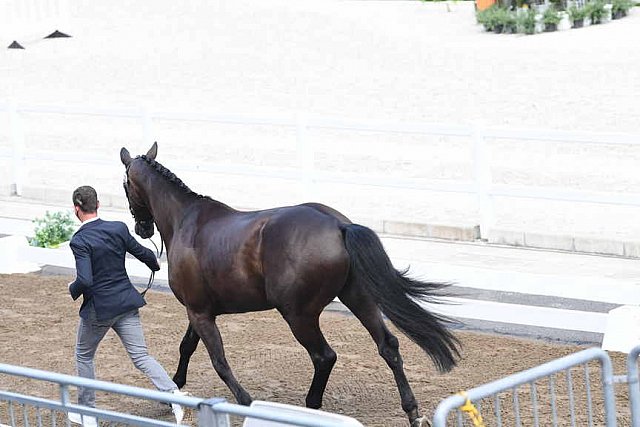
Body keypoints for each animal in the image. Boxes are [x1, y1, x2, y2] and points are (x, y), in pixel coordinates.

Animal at [119, 143, 460, 424]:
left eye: (125, 185)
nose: (142, 227)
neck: (185, 221)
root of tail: (338, 225)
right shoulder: (199, 310)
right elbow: (187, 346)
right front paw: (173, 390)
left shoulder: (199, 312)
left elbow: (218, 360)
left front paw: (244, 403)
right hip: (358, 297)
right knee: (387, 345)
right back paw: (412, 412)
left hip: (298, 315)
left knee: (324, 357)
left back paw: (310, 407)